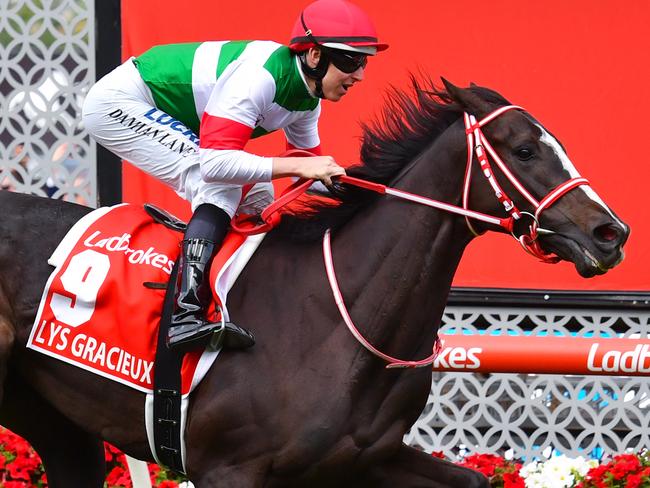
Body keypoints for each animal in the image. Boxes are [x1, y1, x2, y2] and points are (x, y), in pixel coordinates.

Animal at [0, 78, 628, 486]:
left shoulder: (364, 459)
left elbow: (474, 480)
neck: (336, 320)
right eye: (523, 151)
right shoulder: (227, 468)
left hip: (54, 422)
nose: (610, 233)